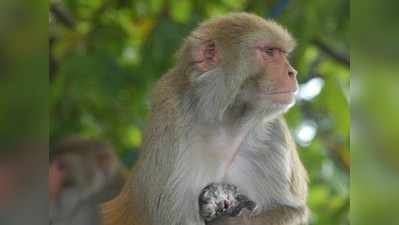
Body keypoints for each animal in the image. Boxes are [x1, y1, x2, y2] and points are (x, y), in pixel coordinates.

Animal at [103, 11, 310, 225]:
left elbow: (289, 210)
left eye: (282, 53)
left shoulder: (272, 132)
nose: (292, 73)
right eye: (269, 51)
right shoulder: (169, 122)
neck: (225, 123)